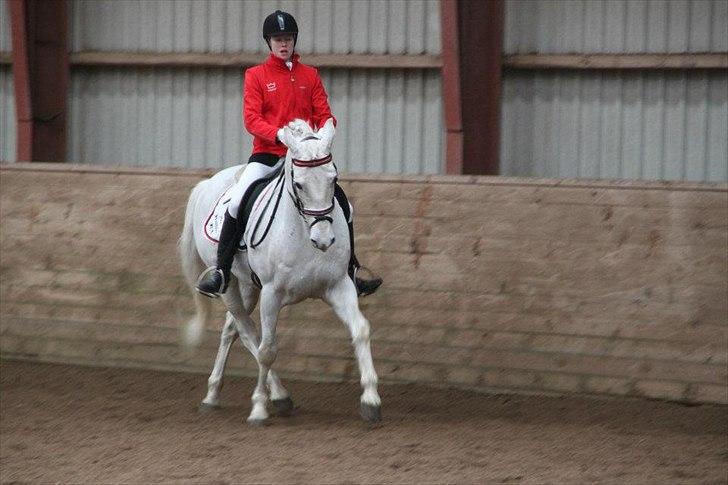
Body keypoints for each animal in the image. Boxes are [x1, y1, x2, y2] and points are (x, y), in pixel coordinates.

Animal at [178, 118, 382, 424]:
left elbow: (360, 330)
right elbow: (267, 350)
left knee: (231, 329)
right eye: (298, 184)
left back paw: (213, 394)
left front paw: (370, 399)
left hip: (248, 286)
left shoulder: (339, 285)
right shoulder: (272, 294)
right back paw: (275, 395)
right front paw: (259, 408)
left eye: (333, 180)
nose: (324, 240)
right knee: (249, 333)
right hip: (231, 287)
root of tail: (208, 183)